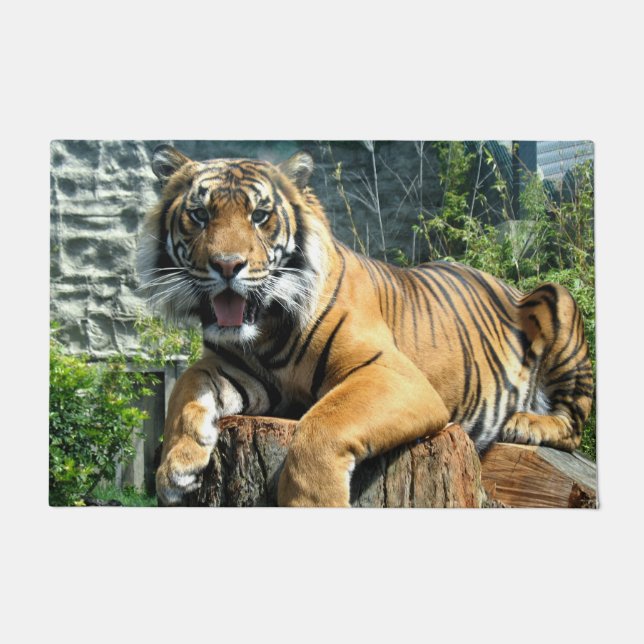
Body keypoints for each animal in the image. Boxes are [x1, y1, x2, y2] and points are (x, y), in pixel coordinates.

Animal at [137, 144, 594, 507]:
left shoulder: (393, 374)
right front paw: (175, 469)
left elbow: (321, 426)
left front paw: (315, 505)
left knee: (574, 424)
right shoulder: (239, 370)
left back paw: (526, 422)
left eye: (260, 215)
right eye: (199, 215)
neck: (266, 330)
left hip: (558, 299)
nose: (228, 265)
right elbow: (184, 388)